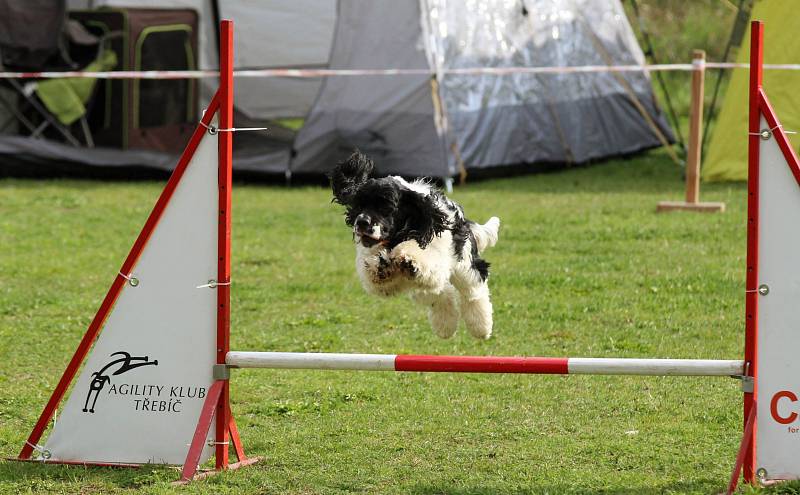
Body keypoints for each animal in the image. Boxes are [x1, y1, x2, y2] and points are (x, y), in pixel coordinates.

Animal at [328, 150, 496, 340]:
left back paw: (481, 327)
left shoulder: (436, 256)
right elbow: (376, 273)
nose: (361, 222)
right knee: (441, 294)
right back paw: (445, 326)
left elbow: (419, 256)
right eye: (359, 205)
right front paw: (381, 265)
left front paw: (408, 259)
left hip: (464, 263)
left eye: (386, 207)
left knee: (472, 291)